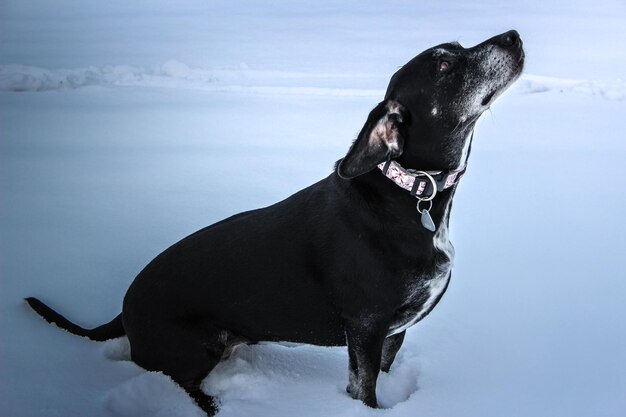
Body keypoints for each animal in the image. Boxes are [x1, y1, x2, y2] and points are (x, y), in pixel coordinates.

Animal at [25, 30, 520, 412]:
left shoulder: (392, 333)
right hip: (193, 347)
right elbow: (364, 390)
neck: (411, 194)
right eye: (444, 64)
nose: (513, 36)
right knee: (179, 384)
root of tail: (124, 307)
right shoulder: (366, 328)